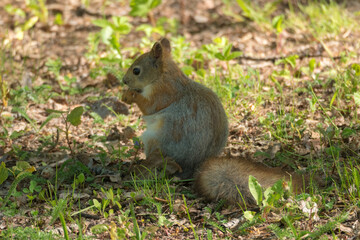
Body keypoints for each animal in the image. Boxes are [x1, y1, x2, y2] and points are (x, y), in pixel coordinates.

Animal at [121, 38, 306, 205]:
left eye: (136, 70)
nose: (124, 80)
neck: (163, 76)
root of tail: (197, 166)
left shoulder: (162, 94)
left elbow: (149, 107)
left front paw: (130, 95)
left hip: (153, 140)